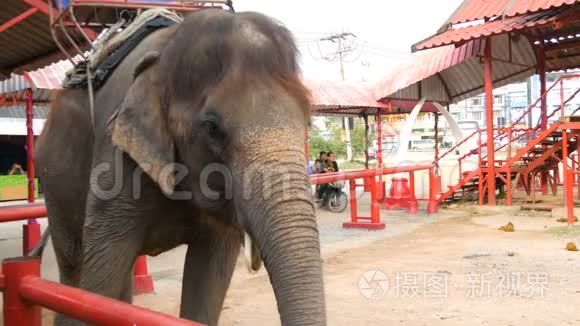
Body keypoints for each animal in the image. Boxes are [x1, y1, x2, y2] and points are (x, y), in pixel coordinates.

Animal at [36, 8, 326, 326]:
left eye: (308, 121)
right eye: (212, 127)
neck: (168, 51)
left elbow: (211, 270)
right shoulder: (115, 156)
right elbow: (102, 271)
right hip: (55, 182)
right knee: (74, 266)